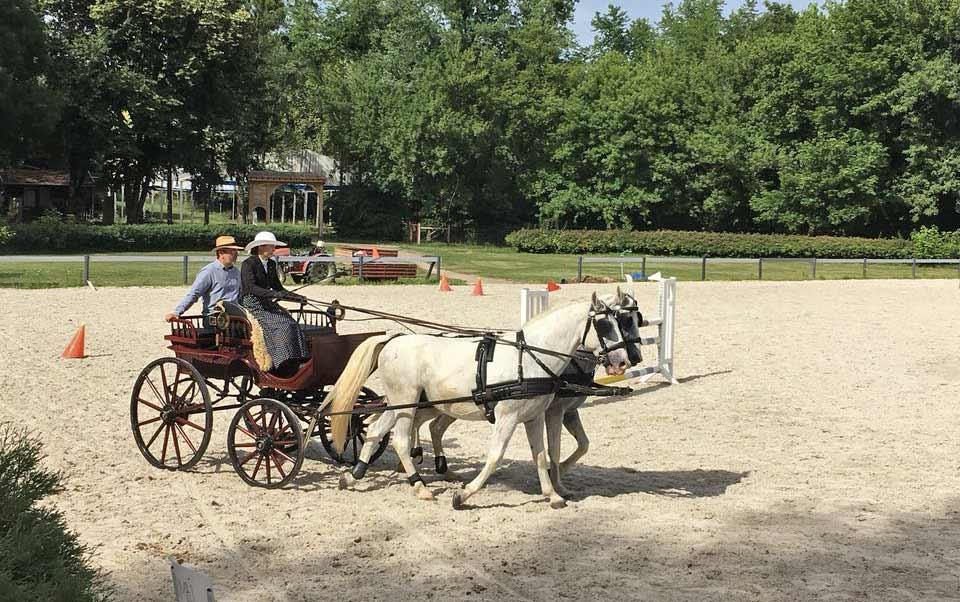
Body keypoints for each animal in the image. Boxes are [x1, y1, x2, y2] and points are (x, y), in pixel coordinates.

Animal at [324, 290, 644, 506]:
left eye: (631, 320)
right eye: (606, 325)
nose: (626, 361)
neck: (531, 357)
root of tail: (394, 339)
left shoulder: (534, 416)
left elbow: (541, 454)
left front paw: (552, 495)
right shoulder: (509, 417)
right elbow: (496, 455)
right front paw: (464, 494)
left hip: (403, 402)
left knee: (377, 430)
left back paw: (354, 474)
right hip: (407, 402)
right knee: (402, 440)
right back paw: (420, 486)